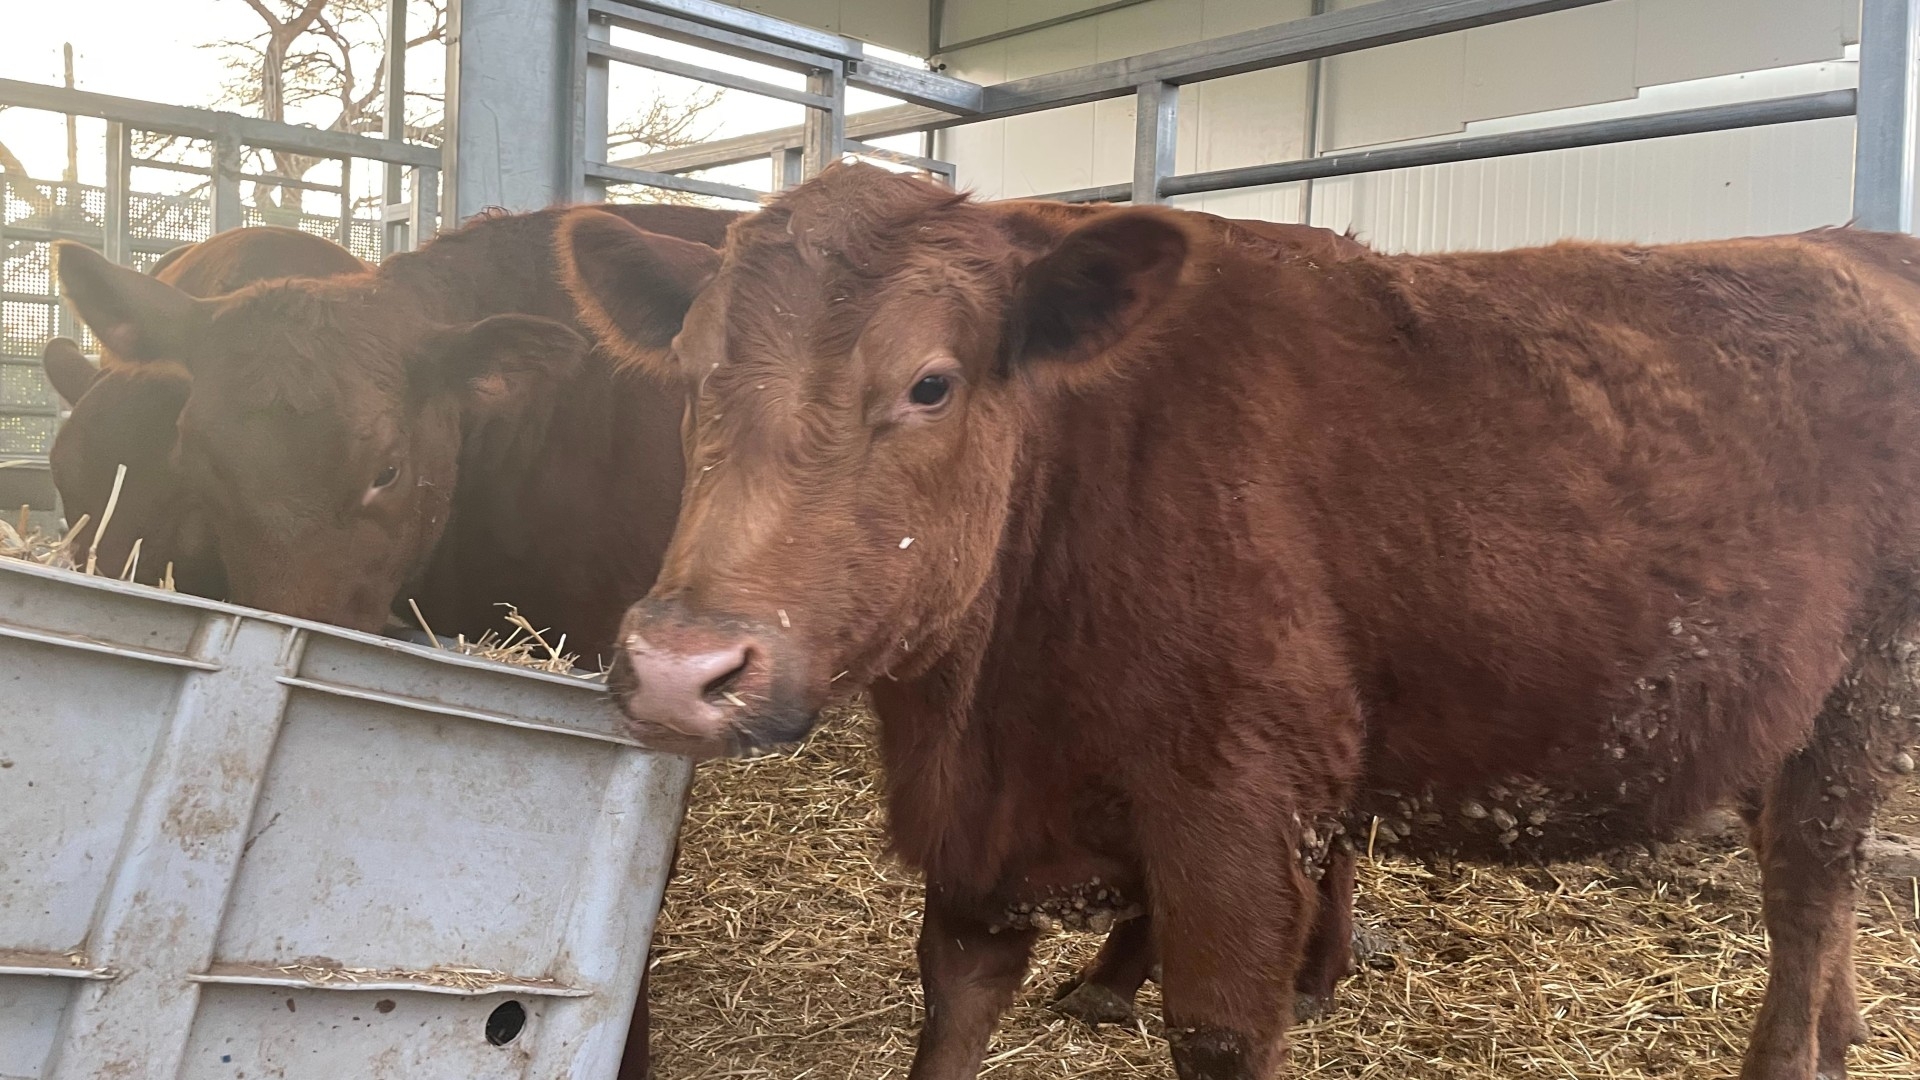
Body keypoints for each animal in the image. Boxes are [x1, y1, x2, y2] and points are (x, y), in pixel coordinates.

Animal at [560, 161, 1920, 1076]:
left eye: (931, 383)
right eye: (694, 378)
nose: (681, 666)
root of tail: (1854, 243)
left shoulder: (1238, 813)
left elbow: (1219, 1032)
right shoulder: (979, 842)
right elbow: (950, 1010)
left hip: (1867, 685)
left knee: (1809, 883)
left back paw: (1795, 1054)